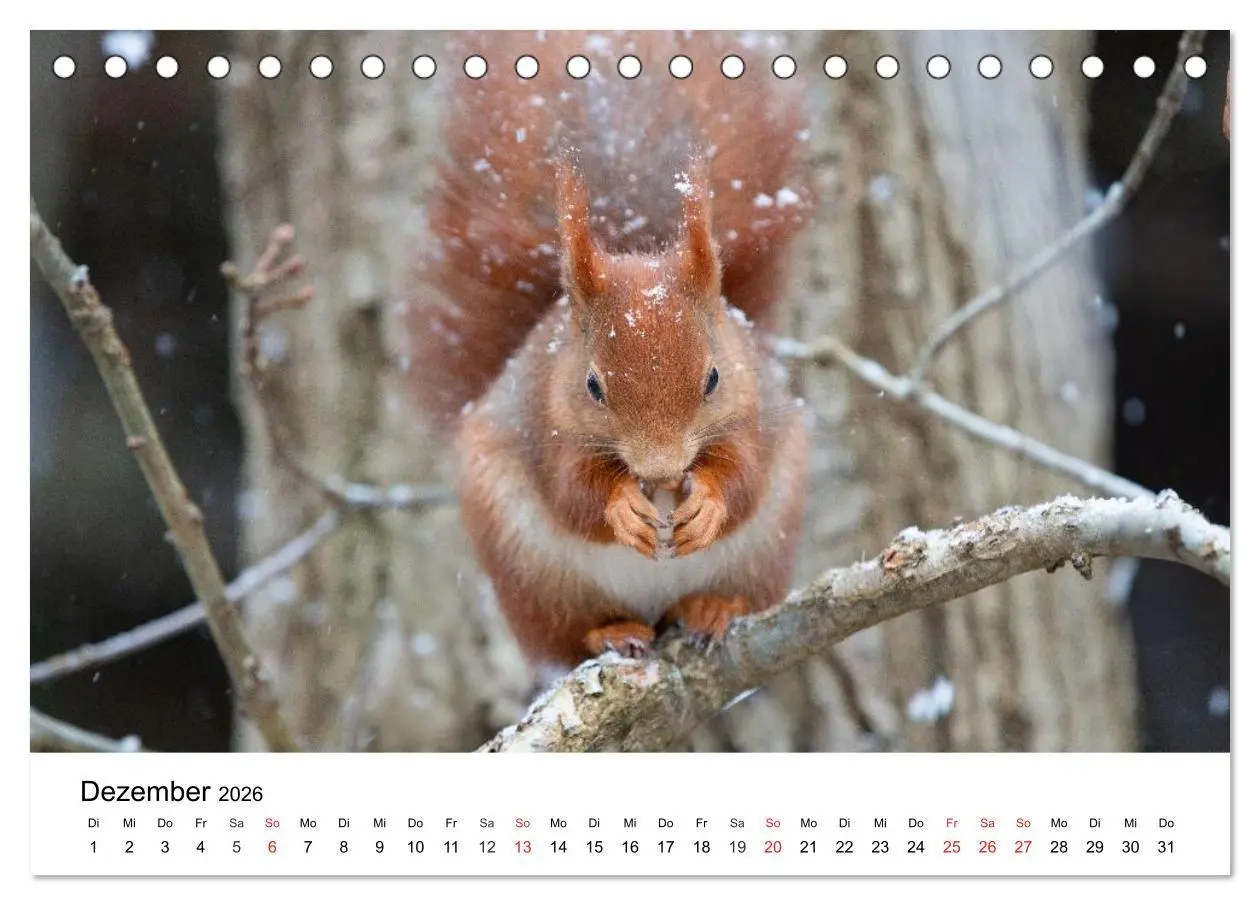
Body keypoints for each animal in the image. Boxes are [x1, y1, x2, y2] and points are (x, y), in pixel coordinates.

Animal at [406, 32, 814, 672]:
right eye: (593, 385)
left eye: (714, 377)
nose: (662, 469)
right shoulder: (547, 422)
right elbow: (572, 491)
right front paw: (621, 505)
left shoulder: (754, 410)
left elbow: (744, 474)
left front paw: (708, 502)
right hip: (531, 572)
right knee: (568, 633)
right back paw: (611, 632)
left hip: (764, 550)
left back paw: (712, 608)